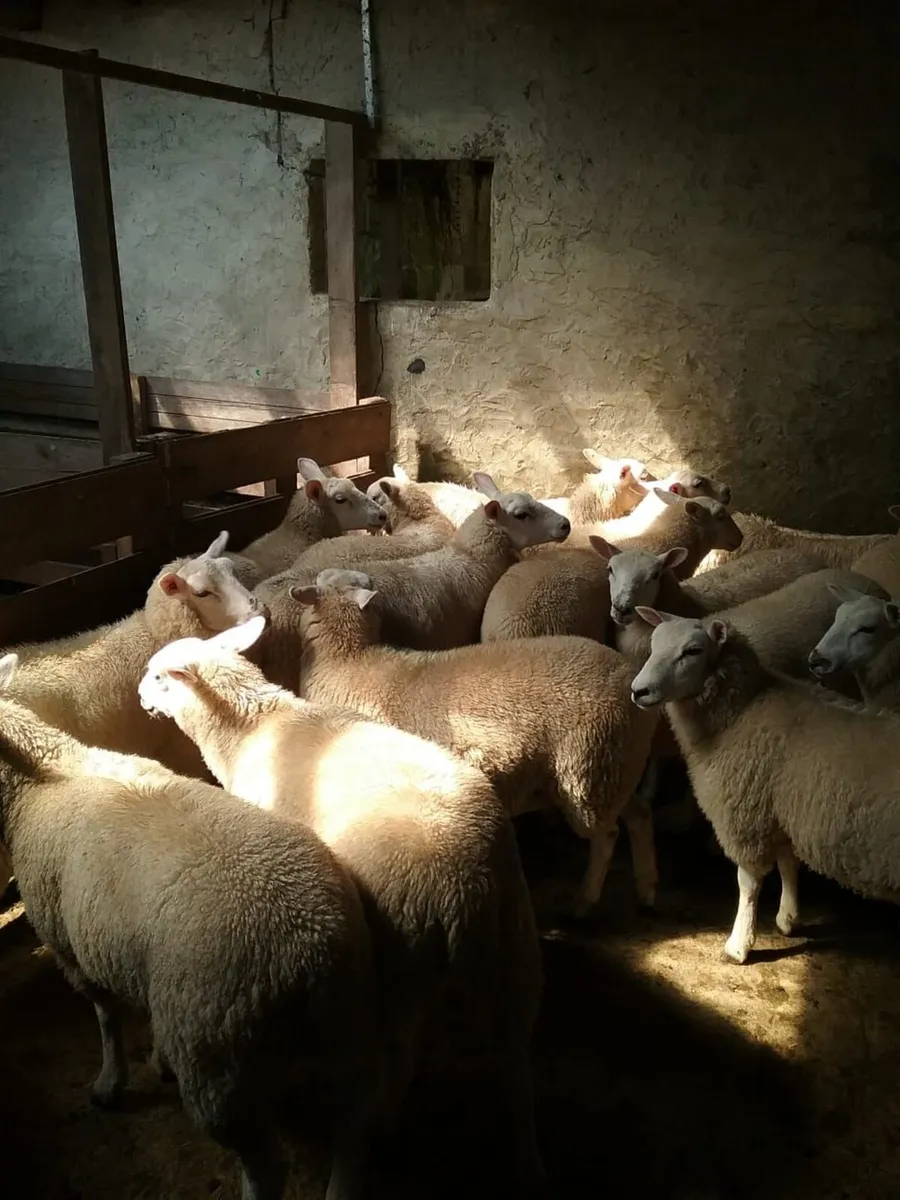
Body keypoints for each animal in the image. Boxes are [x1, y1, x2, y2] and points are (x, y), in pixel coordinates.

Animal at [0, 652, 380, 1200]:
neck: (43, 780)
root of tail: (313, 943)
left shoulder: (71, 948)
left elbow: (106, 1020)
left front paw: (109, 1082)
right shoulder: (136, 959)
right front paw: (156, 1059)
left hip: (215, 1050)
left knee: (266, 1167)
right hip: (346, 1024)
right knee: (356, 1124)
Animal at [138, 616, 546, 1193]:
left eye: (158, 676)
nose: (138, 695)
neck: (249, 730)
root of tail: (466, 886)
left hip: (399, 961)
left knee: (390, 1064)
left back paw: (381, 1131)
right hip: (513, 942)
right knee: (516, 1058)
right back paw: (529, 1162)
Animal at [290, 572, 661, 914]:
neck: (347, 659)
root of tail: (630, 682)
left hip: (587, 768)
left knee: (607, 836)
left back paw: (585, 901)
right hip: (616, 764)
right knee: (640, 816)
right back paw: (647, 890)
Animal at [630, 608, 900, 964]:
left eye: (693, 651)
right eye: (653, 644)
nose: (639, 691)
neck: (742, 709)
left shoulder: (746, 813)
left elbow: (748, 882)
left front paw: (739, 944)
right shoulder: (778, 807)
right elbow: (788, 862)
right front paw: (788, 918)